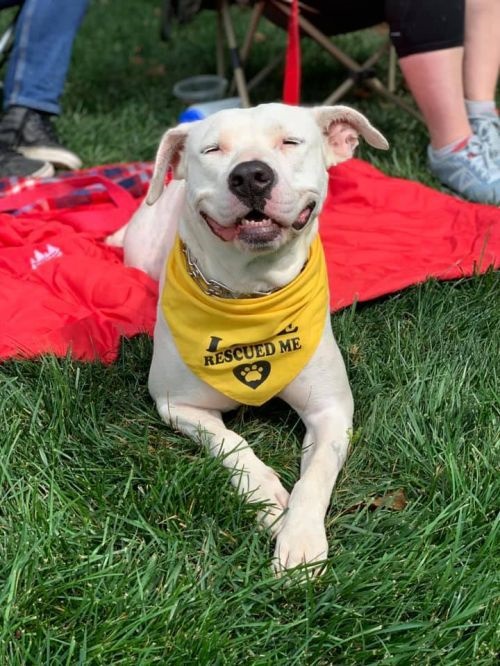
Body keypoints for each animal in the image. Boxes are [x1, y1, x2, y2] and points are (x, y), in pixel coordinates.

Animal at [109, 103, 388, 575]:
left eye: (290, 142)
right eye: (212, 149)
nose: (251, 175)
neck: (252, 298)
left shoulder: (332, 411)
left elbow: (315, 478)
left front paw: (300, 540)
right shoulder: (176, 404)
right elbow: (230, 442)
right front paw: (266, 494)